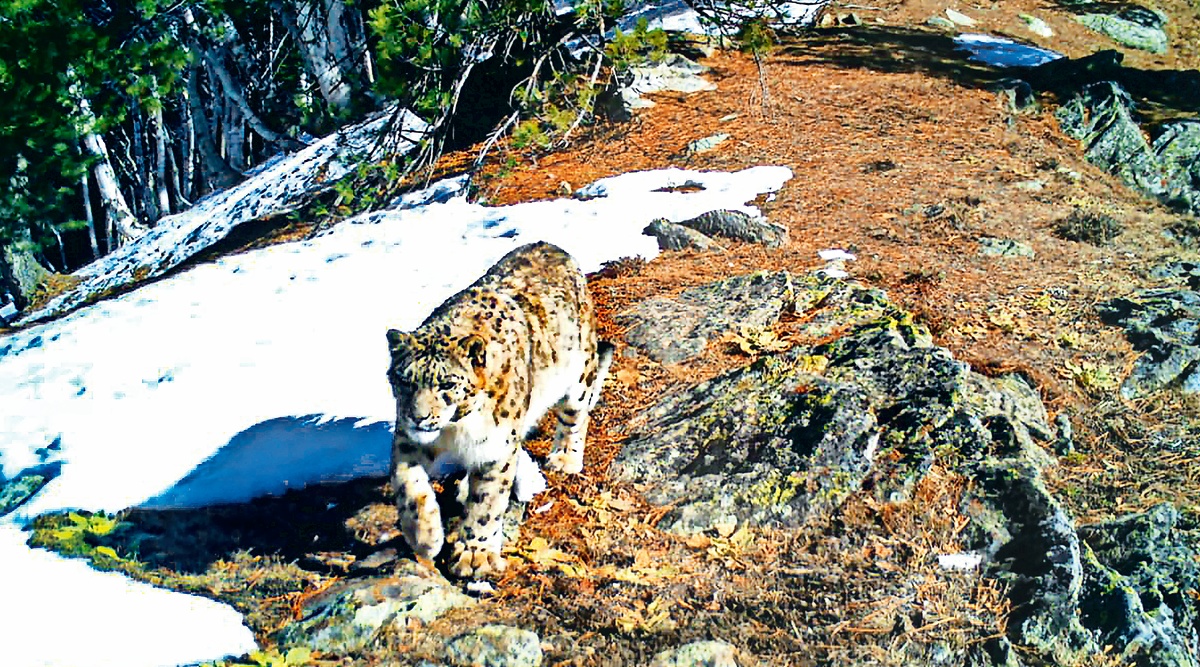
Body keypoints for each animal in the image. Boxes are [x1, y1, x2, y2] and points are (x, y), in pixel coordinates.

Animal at [386, 241, 614, 579]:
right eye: (403, 380)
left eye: (447, 384)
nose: (418, 417)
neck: (454, 429)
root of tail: (550, 245)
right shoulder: (405, 439)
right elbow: (407, 484)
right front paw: (424, 537)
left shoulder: (496, 446)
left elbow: (487, 503)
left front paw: (474, 555)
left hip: (578, 376)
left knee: (575, 417)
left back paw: (564, 459)